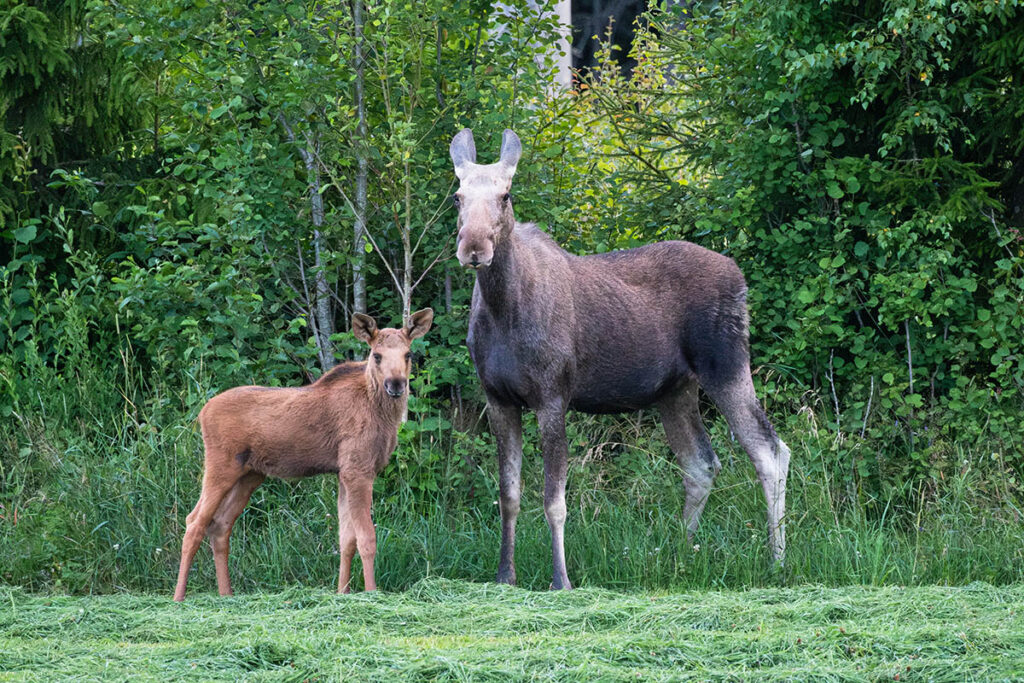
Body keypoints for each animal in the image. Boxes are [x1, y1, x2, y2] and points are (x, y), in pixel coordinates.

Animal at [172, 308, 434, 601]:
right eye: (376, 355)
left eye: (408, 354)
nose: (396, 384)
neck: (382, 415)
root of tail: (201, 414)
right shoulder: (358, 470)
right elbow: (367, 538)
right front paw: (371, 593)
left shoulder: (343, 473)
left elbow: (346, 539)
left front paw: (342, 592)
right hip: (221, 466)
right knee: (194, 521)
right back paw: (178, 598)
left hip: (249, 474)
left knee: (219, 525)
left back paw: (227, 595)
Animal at [449, 128, 791, 590]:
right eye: (458, 196)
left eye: (506, 194)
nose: (474, 248)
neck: (503, 310)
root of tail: (739, 275)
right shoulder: (498, 398)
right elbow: (508, 494)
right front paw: (505, 576)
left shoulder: (552, 395)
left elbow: (554, 500)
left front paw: (561, 580)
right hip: (675, 389)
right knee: (701, 463)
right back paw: (678, 553)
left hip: (726, 363)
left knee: (769, 450)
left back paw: (777, 561)